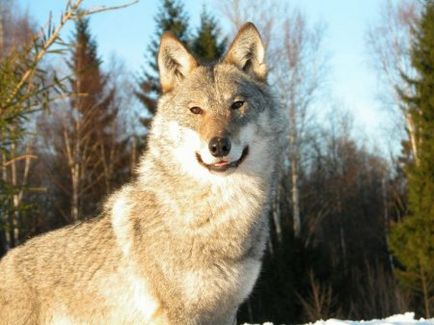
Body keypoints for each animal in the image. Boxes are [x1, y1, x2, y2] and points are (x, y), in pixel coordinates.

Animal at [0, 21, 284, 322]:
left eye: (237, 105)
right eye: (196, 110)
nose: (218, 146)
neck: (219, 214)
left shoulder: (226, 312)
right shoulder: (180, 313)